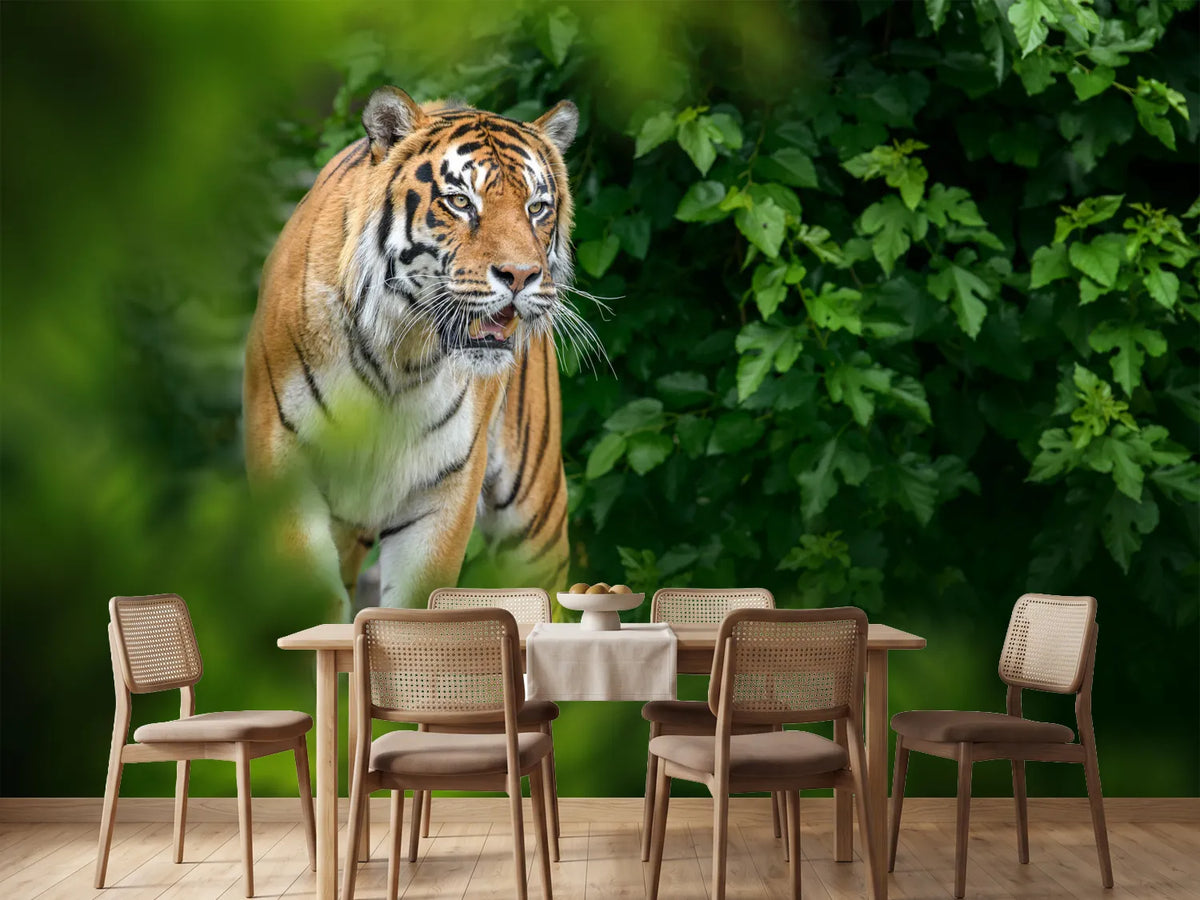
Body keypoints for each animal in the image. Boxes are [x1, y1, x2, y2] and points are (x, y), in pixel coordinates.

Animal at [243, 86, 581, 618]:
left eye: (536, 207)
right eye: (460, 202)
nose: (522, 275)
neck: (399, 356)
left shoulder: (443, 489)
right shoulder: (287, 471)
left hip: (535, 517)